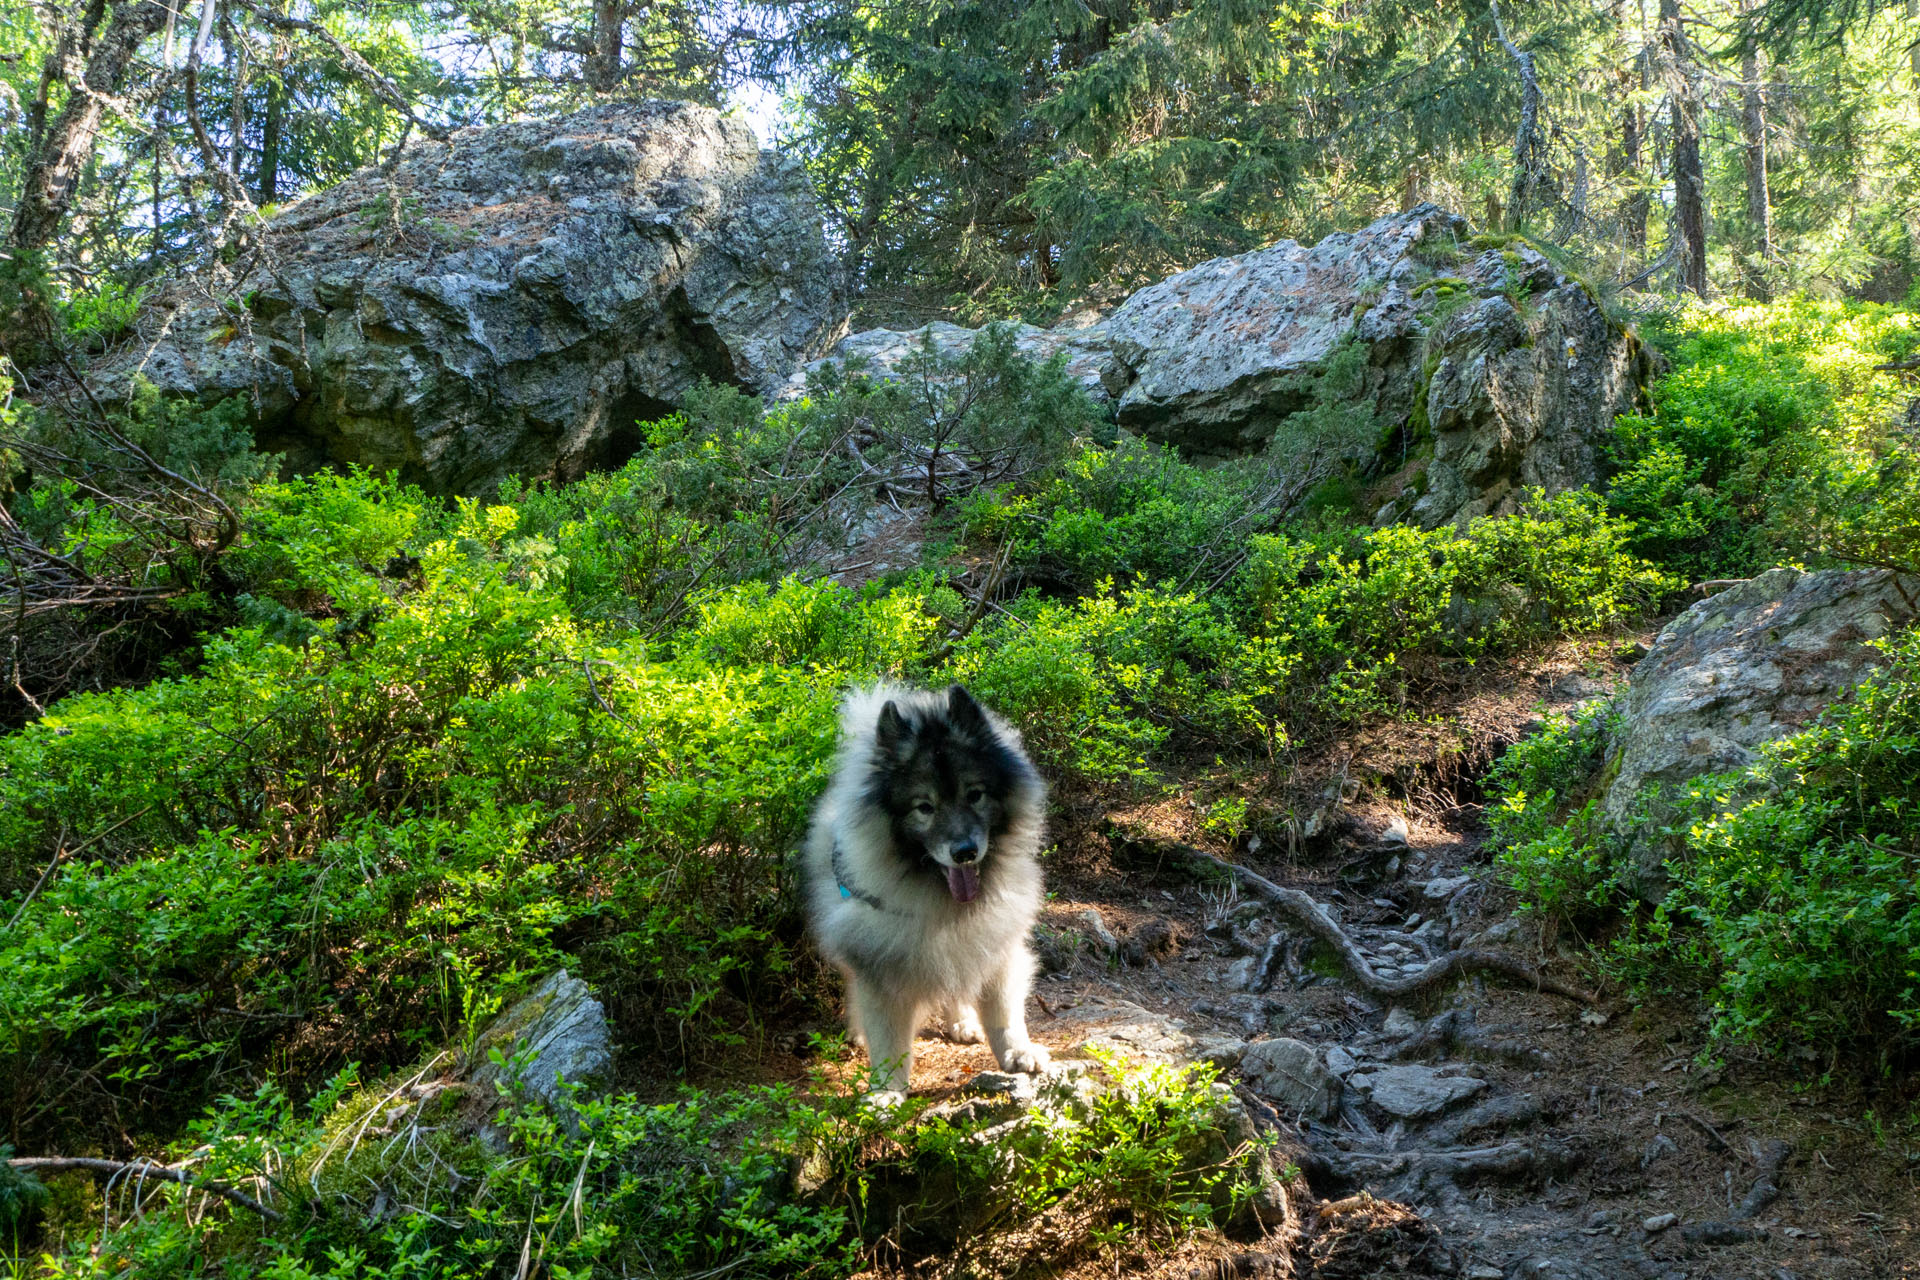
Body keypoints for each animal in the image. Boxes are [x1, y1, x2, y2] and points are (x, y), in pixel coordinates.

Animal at [806, 687, 1059, 1105]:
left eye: (975, 795)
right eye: (924, 807)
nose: (965, 852)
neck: (941, 899)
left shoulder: (995, 940)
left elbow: (1004, 1012)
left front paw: (1017, 1053)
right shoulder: (880, 965)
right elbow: (889, 1039)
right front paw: (886, 1091)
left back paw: (963, 1021)